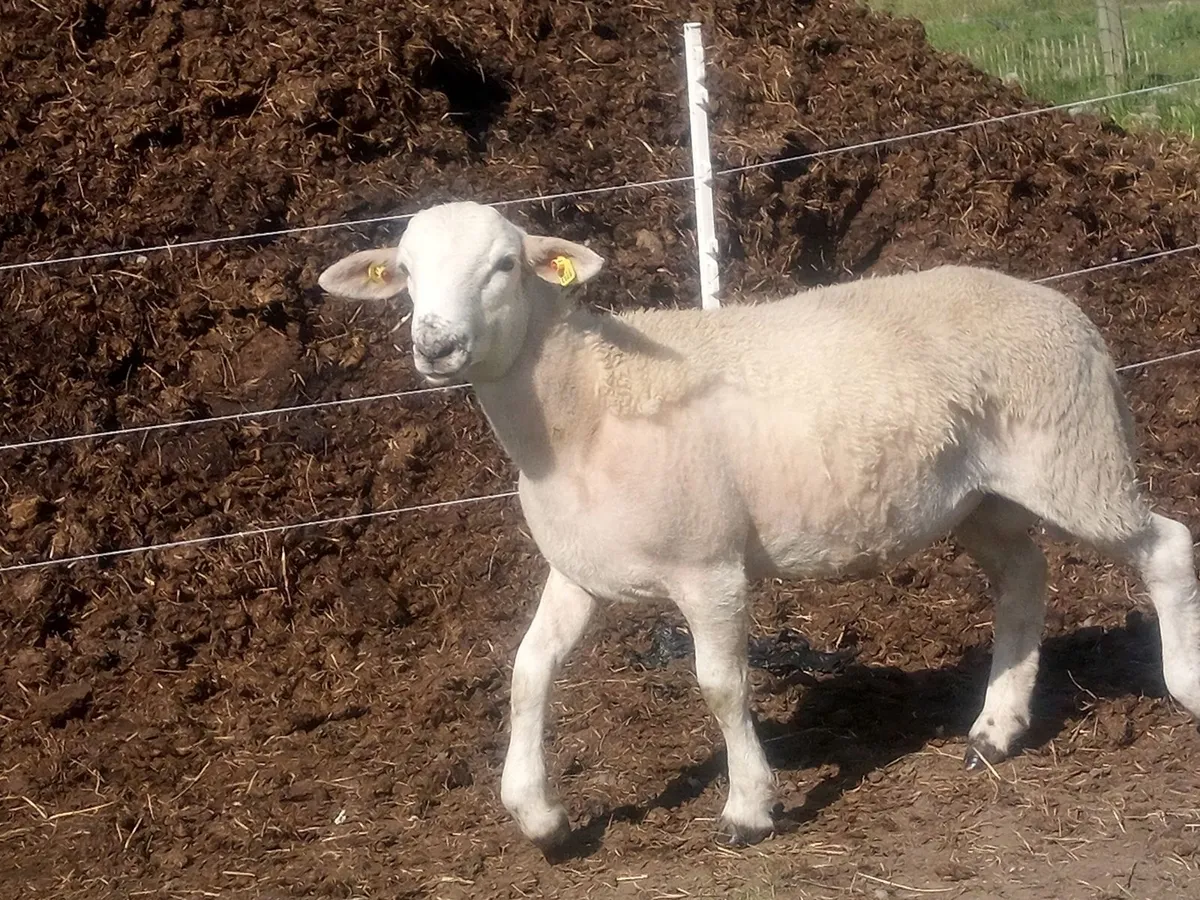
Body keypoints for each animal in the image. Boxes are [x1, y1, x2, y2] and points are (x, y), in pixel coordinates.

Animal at [317, 200, 1200, 850]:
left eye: (503, 265)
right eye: (405, 273)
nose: (436, 344)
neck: (583, 400)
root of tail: (1061, 304)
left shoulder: (708, 564)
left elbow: (720, 684)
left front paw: (748, 810)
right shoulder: (578, 567)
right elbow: (530, 671)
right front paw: (538, 815)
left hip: (1075, 454)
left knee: (1165, 547)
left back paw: (1182, 685)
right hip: (981, 494)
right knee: (1023, 577)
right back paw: (995, 728)